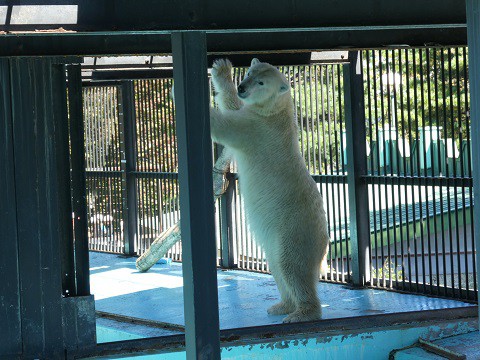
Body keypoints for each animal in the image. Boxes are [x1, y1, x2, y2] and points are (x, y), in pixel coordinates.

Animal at [210, 57, 330, 322]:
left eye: (261, 83)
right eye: (250, 73)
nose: (243, 87)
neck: (279, 111)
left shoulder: (259, 130)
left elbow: (228, 126)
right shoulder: (257, 117)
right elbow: (234, 106)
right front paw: (222, 70)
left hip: (295, 230)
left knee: (292, 266)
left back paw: (302, 312)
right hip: (277, 237)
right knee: (276, 266)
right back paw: (282, 305)